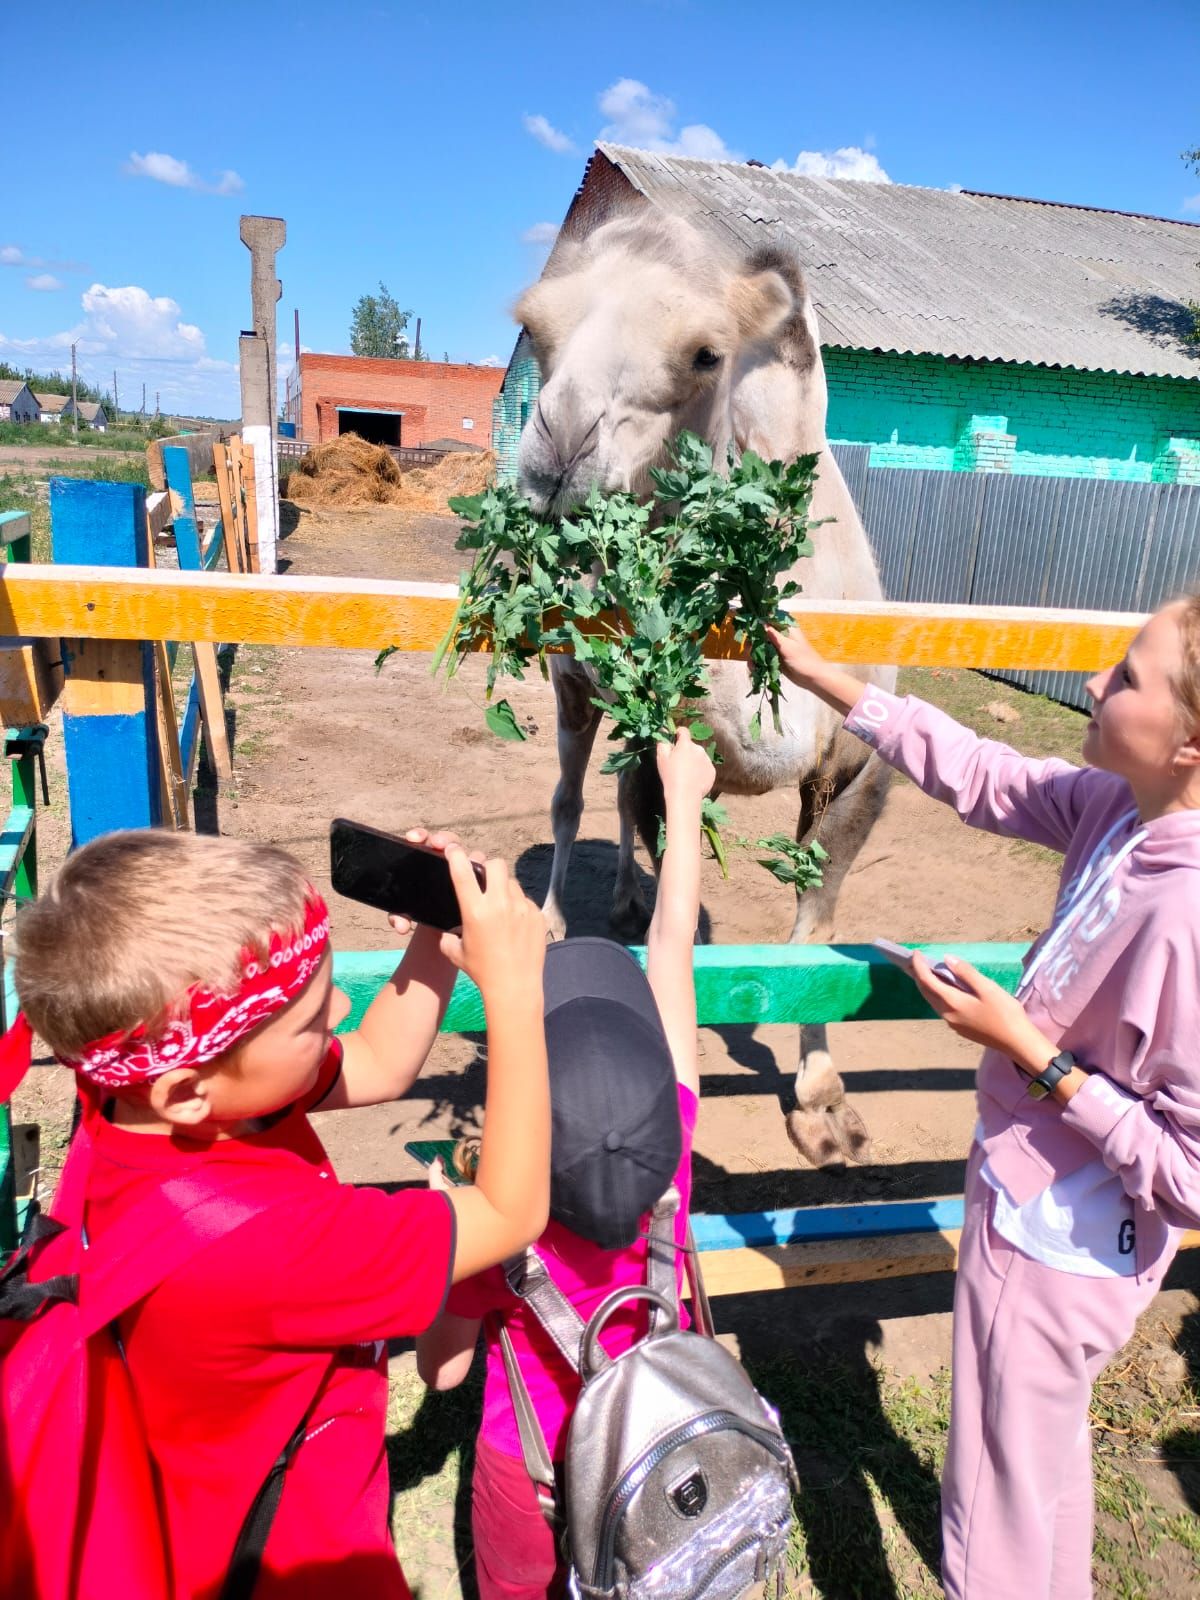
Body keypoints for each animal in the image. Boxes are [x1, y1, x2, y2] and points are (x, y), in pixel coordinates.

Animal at [512, 209, 896, 1164]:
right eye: (533, 329)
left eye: (705, 355)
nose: (557, 457)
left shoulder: (859, 768)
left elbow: (817, 922)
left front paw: (823, 1104)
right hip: (572, 689)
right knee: (570, 797)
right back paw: (554, 921)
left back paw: (617, 903)